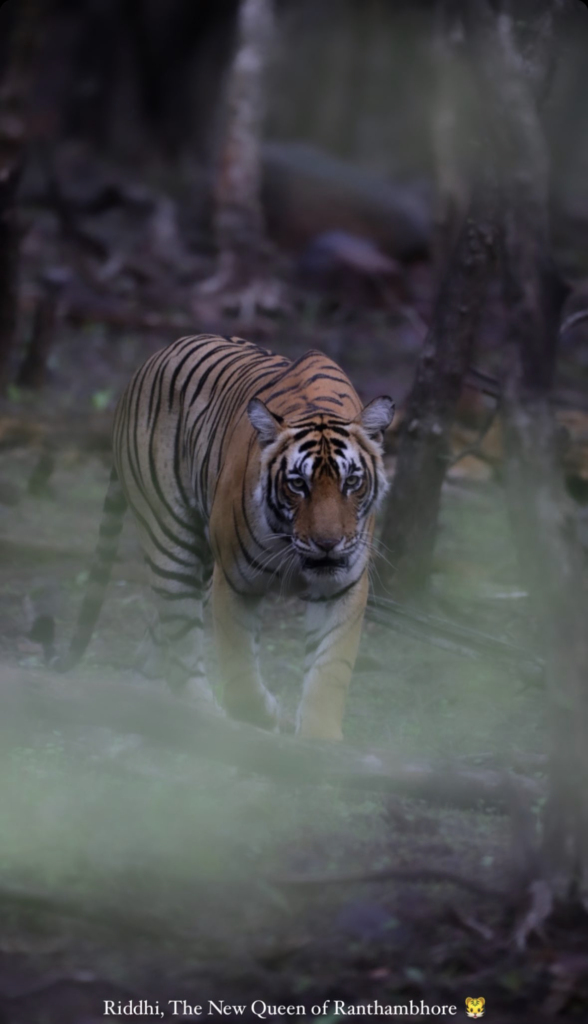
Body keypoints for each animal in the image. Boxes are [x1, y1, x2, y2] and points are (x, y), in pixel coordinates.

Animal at [57, 335, 397, 745]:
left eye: (352, 482)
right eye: (298, 484)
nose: (328, 543)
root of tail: (144, 366)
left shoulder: (343, 586)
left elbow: (329, 670)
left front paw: (319, 744)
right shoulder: (235, 581)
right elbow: (239, 671)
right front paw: (263, 717)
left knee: (159, 639)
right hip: (172, 541)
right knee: (181, 639)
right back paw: (198, 719)